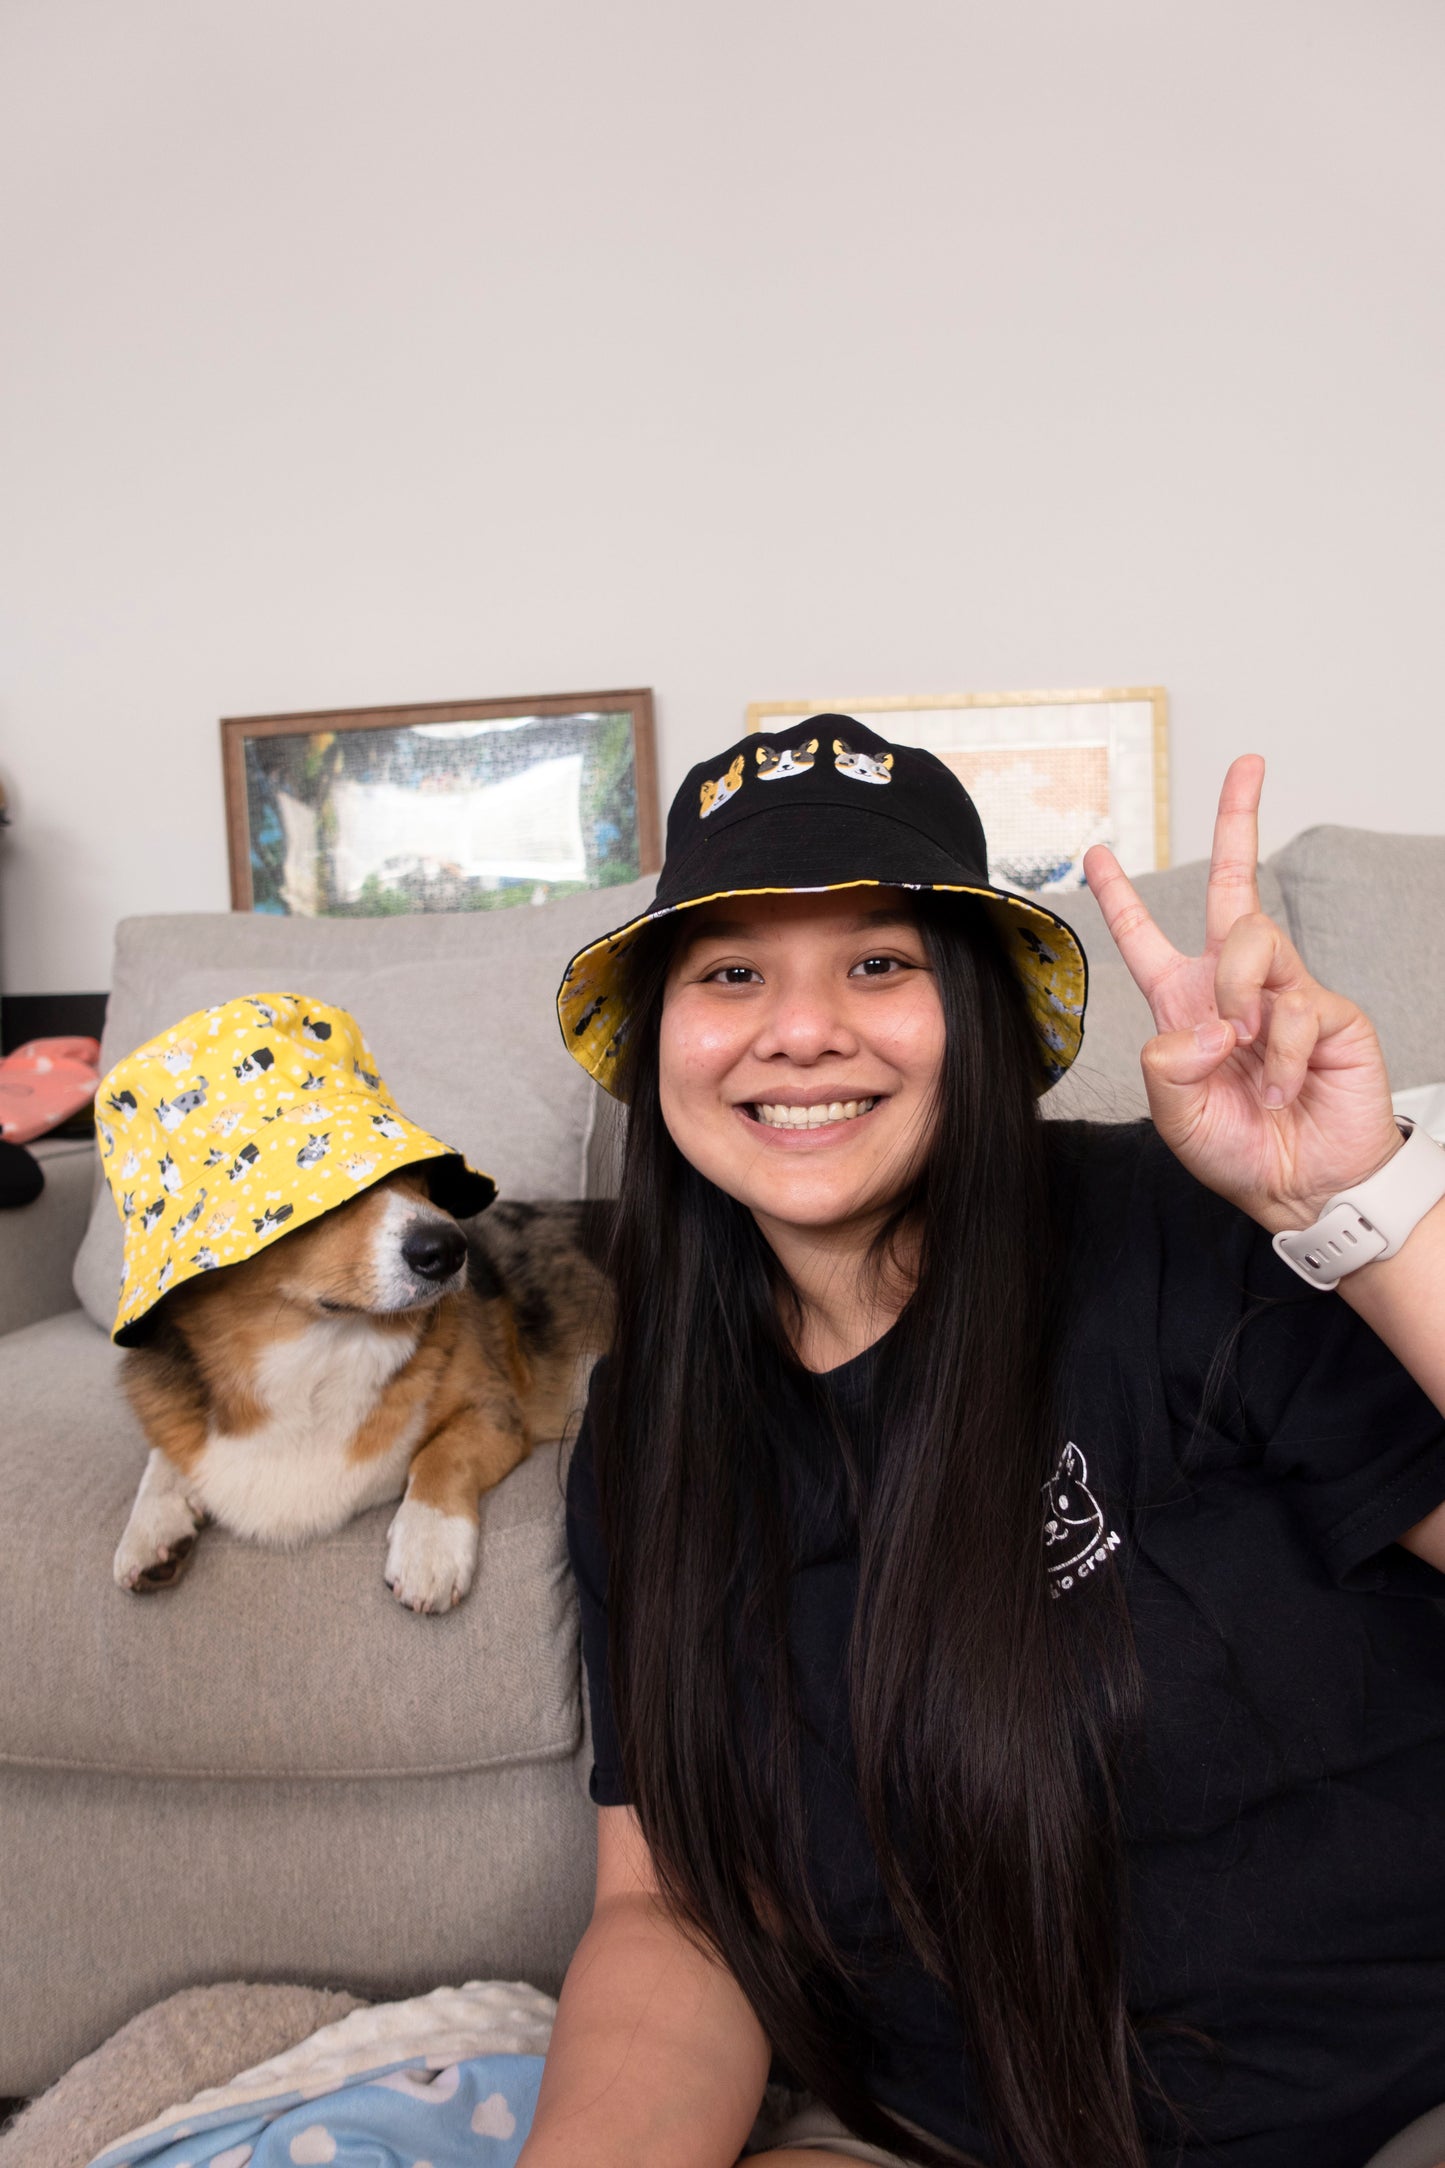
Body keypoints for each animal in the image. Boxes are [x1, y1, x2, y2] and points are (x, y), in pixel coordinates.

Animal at [111, 1170, 610, 1612]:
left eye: (419, 1174)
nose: (449, 1250)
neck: (313, 1349)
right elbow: (166, 1454)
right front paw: (152, 1527)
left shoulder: (494, 1411)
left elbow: (440, 1455)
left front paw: (429, 1545)